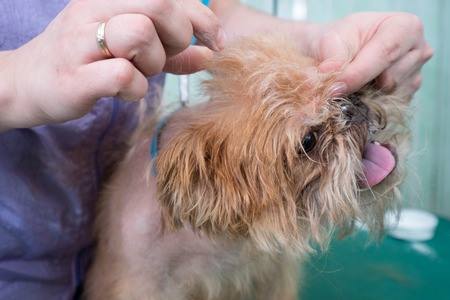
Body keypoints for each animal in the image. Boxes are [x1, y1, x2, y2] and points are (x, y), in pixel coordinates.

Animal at [85, 35, 412, 300]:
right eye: (308, 141)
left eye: (342, 85)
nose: (350, 105)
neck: (227, 235)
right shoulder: (143, 285)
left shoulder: (271, 276)